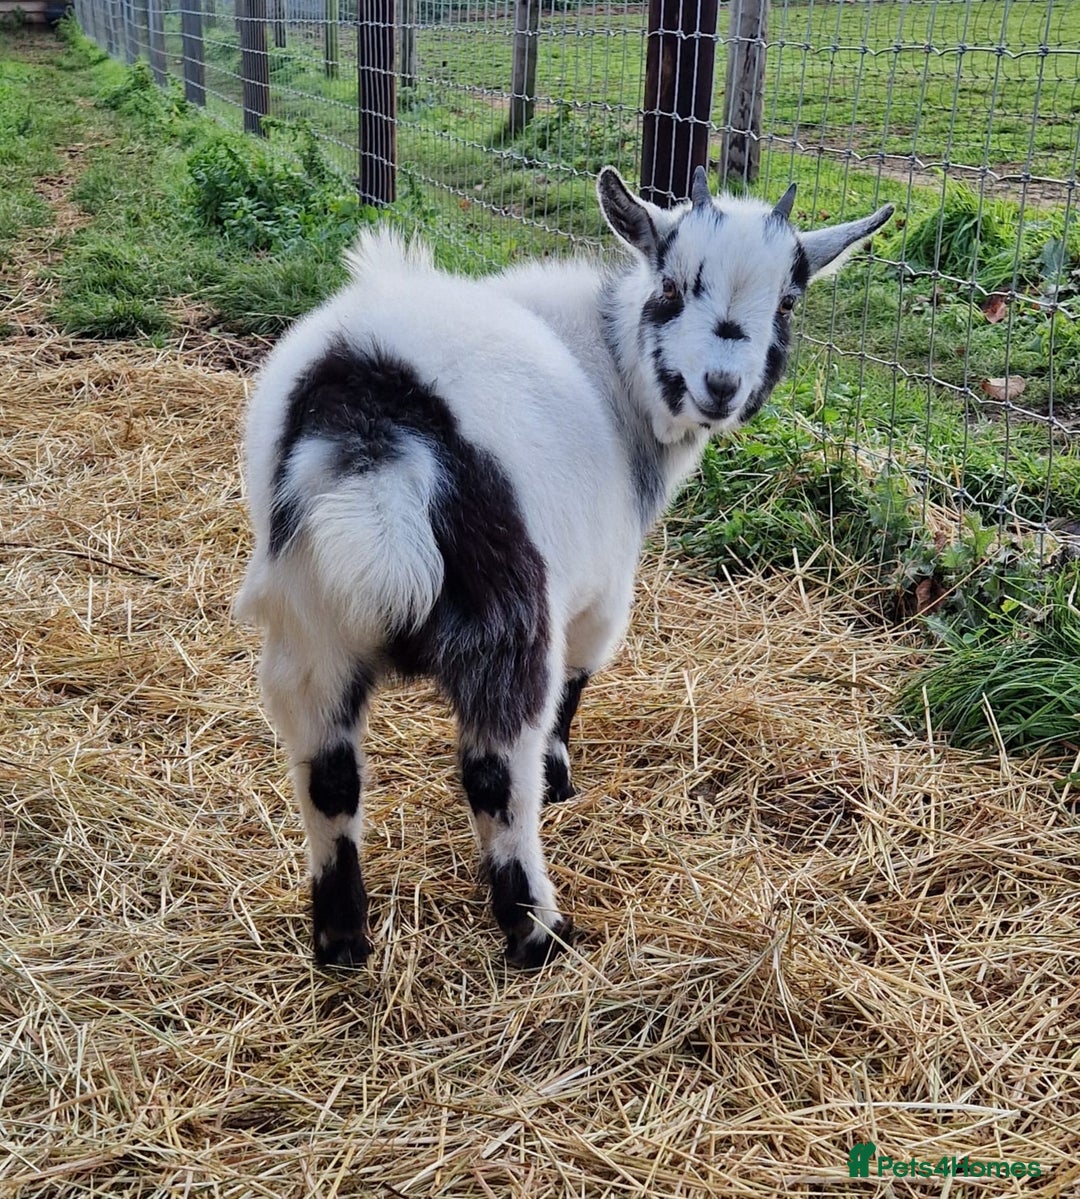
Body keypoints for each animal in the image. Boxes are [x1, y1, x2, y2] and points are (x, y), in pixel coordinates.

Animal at [235, 167, 893, 969]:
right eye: (671, 284)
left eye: (788, 300)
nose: (720, 385)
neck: (608, 364)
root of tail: (374, 430)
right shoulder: (600, 592)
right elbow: (577, 685)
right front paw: (560, 781)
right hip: (507, 620)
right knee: (495, 769)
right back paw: (536, 928)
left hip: (309, 620)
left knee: (326, 772)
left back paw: (343, 939)